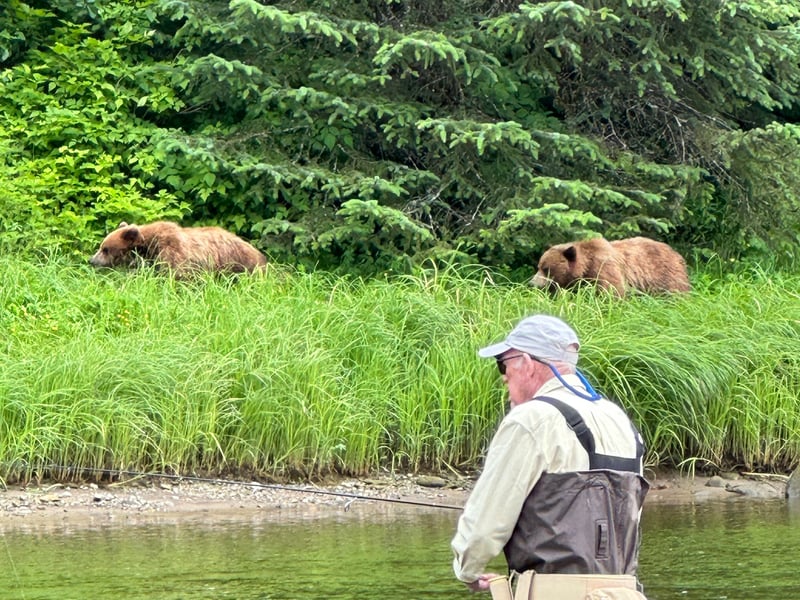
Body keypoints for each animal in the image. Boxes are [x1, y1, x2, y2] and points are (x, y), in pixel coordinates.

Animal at [529, 236, 691, 297]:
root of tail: (677, 254)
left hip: (666, 277)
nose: (532, 283)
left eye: (546, 269)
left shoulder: (604, 269)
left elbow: (612, 293)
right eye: (539, 266)